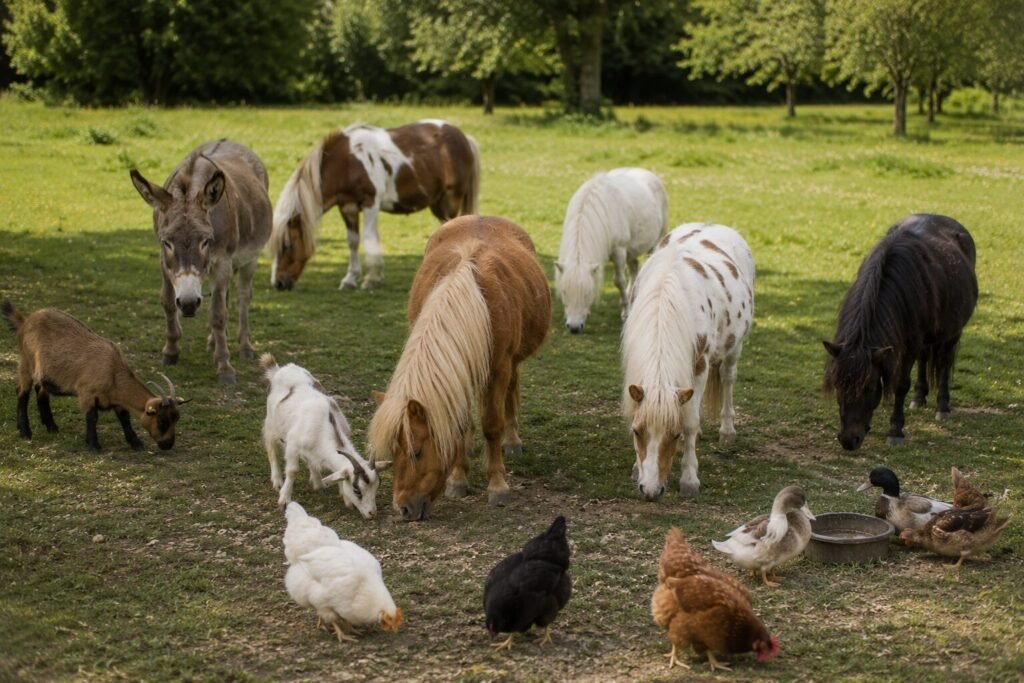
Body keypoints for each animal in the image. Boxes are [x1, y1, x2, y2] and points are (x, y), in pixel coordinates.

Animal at [3, 302, 186, 453]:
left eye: (176, 419)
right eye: (161, 421)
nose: (168, 444)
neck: (113, 371)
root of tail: (25, 322)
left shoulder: (116, 399)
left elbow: (124, 418)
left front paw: (136, 443)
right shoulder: (87, 393)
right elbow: (92, 417)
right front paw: (93, 445)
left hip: (47, 373)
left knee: (40, 390)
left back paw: (51, 427)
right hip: (26, 363)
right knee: (22, 393)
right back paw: (25, 432)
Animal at [261, 354, 387, 518]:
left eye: (377, 486)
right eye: (357, 490)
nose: (372, 513)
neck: (323, 424)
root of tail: (279, 369)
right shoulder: (293, 445)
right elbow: (292, 471)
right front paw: (284, 500)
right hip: (271, 424)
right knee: (271, 449)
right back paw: (277, 481)